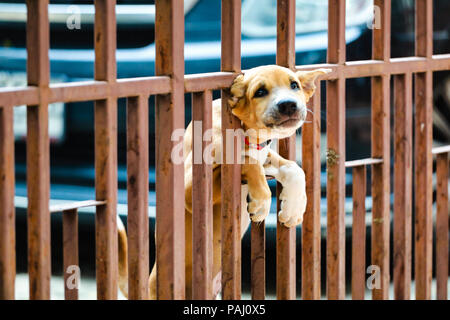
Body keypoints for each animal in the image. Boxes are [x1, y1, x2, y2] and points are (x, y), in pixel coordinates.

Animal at [119, 63, 330, 298]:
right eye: (260, 92)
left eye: (294, 85)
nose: (289, 105)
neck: (246, 133)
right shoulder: (190, 188)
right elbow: (246, 161)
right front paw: (261, 202)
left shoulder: (265, 155)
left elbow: (293, 168)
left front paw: (293, 209)